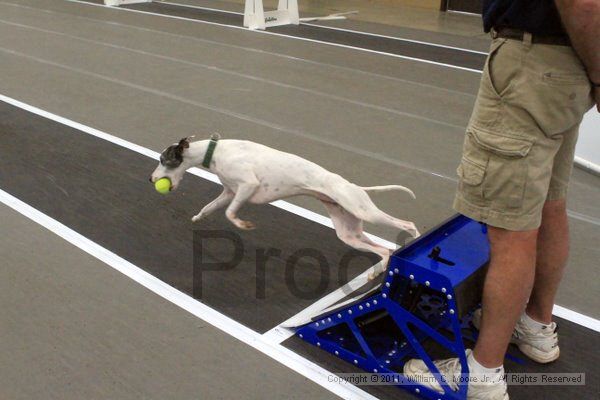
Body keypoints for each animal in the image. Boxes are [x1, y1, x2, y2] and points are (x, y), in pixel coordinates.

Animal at [150, 136, 420, 276]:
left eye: (164, 160)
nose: (152, 180)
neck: (215, 151)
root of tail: (356, 187)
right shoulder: (230, 192)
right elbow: (210, 207)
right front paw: (198, 218)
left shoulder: (247, 186)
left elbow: (229, 214)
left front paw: (243, 224)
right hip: (349, 232)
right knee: (384, 251)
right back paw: (379, 269)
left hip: (364, 211)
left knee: (407, 224)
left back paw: (415, 241)